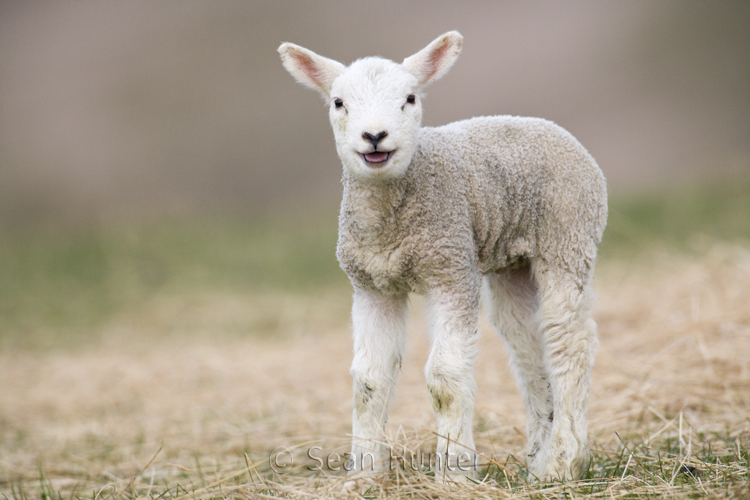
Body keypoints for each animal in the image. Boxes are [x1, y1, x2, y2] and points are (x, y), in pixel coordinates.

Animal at [280, 30, 608, 480]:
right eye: (338, 102)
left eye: (410, 98)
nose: (374, 136)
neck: (390, 226)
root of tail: (547, 125)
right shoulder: (371, 286)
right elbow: (368, 381)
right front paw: (364, 474)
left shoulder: (451, 268)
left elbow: (445, 379)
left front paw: (455, 472)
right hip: (513, 264)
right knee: (527, 347)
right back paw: (538, 459)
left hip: (568, 234)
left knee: (568, 340)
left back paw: (563, 462)